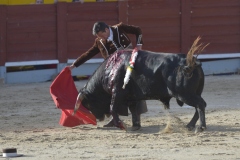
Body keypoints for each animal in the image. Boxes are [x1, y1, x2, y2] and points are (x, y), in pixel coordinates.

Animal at [74, 38, 207, 132]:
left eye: (89, 104)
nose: (98, 119)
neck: (111, 69)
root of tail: (192, 62)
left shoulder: (117, 92)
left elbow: (113, 108)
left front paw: (122, 125)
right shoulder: (131, 96)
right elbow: (133, 110)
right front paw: (135, 126)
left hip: (185, 94)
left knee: (200, 105)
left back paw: (200, 127)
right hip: (194, 93)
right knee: (199, 106)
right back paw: (190, 125)